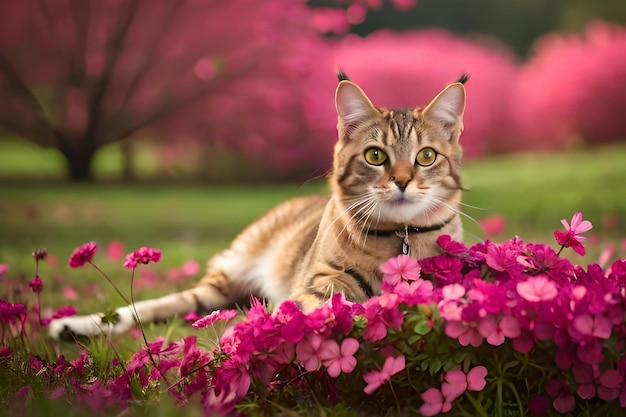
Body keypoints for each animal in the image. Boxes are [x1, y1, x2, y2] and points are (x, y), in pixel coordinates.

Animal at [48, 71, 466, 338]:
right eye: (376, 156)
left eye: (426, 157)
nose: (402, 182)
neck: (400, 235)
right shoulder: (320, 282)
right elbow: (315, 305)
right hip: (226, 277)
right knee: (155, 305)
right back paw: (73, 325)